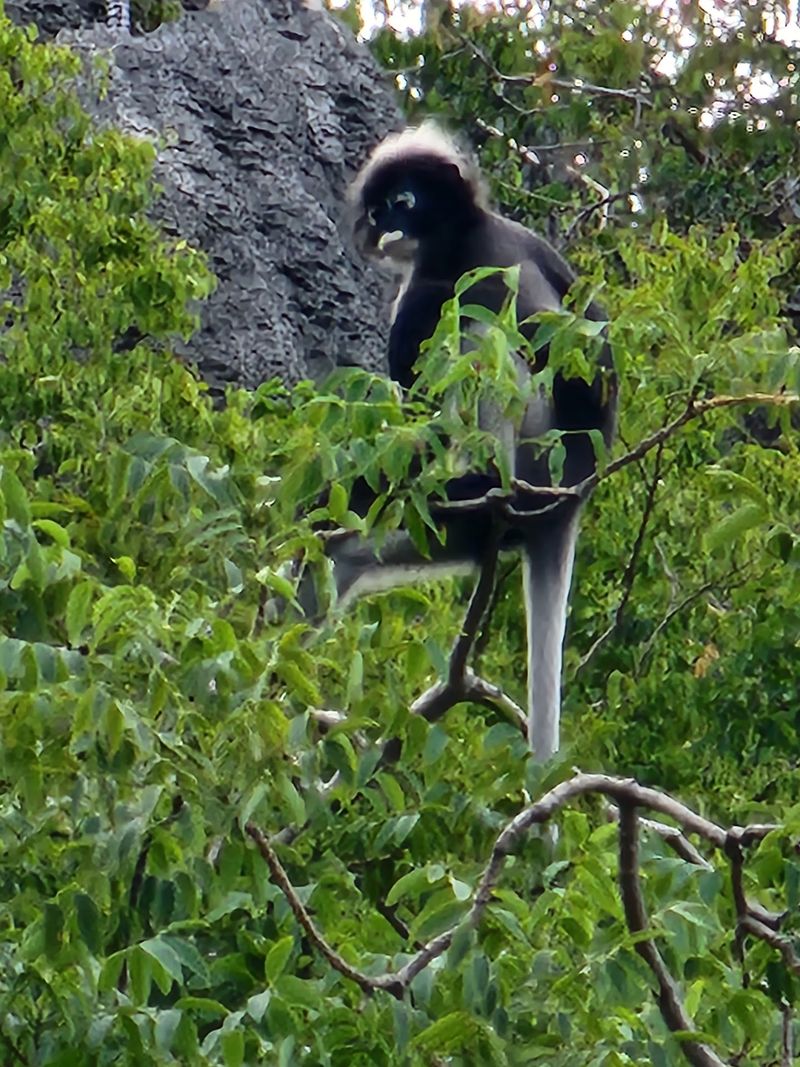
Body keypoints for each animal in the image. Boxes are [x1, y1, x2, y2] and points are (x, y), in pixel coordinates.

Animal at [299, 123, 616, 763]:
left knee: (474, 331)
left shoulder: (466, 265)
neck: (461, 232)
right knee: (342, 554)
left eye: (406, 200)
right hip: (450, 533)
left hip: (535, 458)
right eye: (380, 208)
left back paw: (486, 483)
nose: (387, 226)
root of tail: (570, 501)